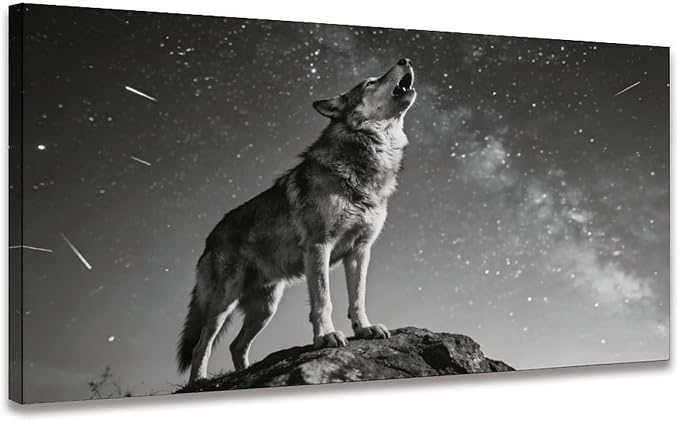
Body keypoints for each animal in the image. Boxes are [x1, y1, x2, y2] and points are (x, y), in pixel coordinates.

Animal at [177, 58, 417, 382]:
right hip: (223, 303)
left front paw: (365, 329)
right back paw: (200, 381)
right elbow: (324, 301)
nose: (406, 60)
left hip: (266, 308)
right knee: (202, 343)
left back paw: (246, 373)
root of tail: (210, 236)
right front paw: (326, 337)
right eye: (369, 82)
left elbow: (358, 297)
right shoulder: (319, 246)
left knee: (236, 345)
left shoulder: (360, 250)